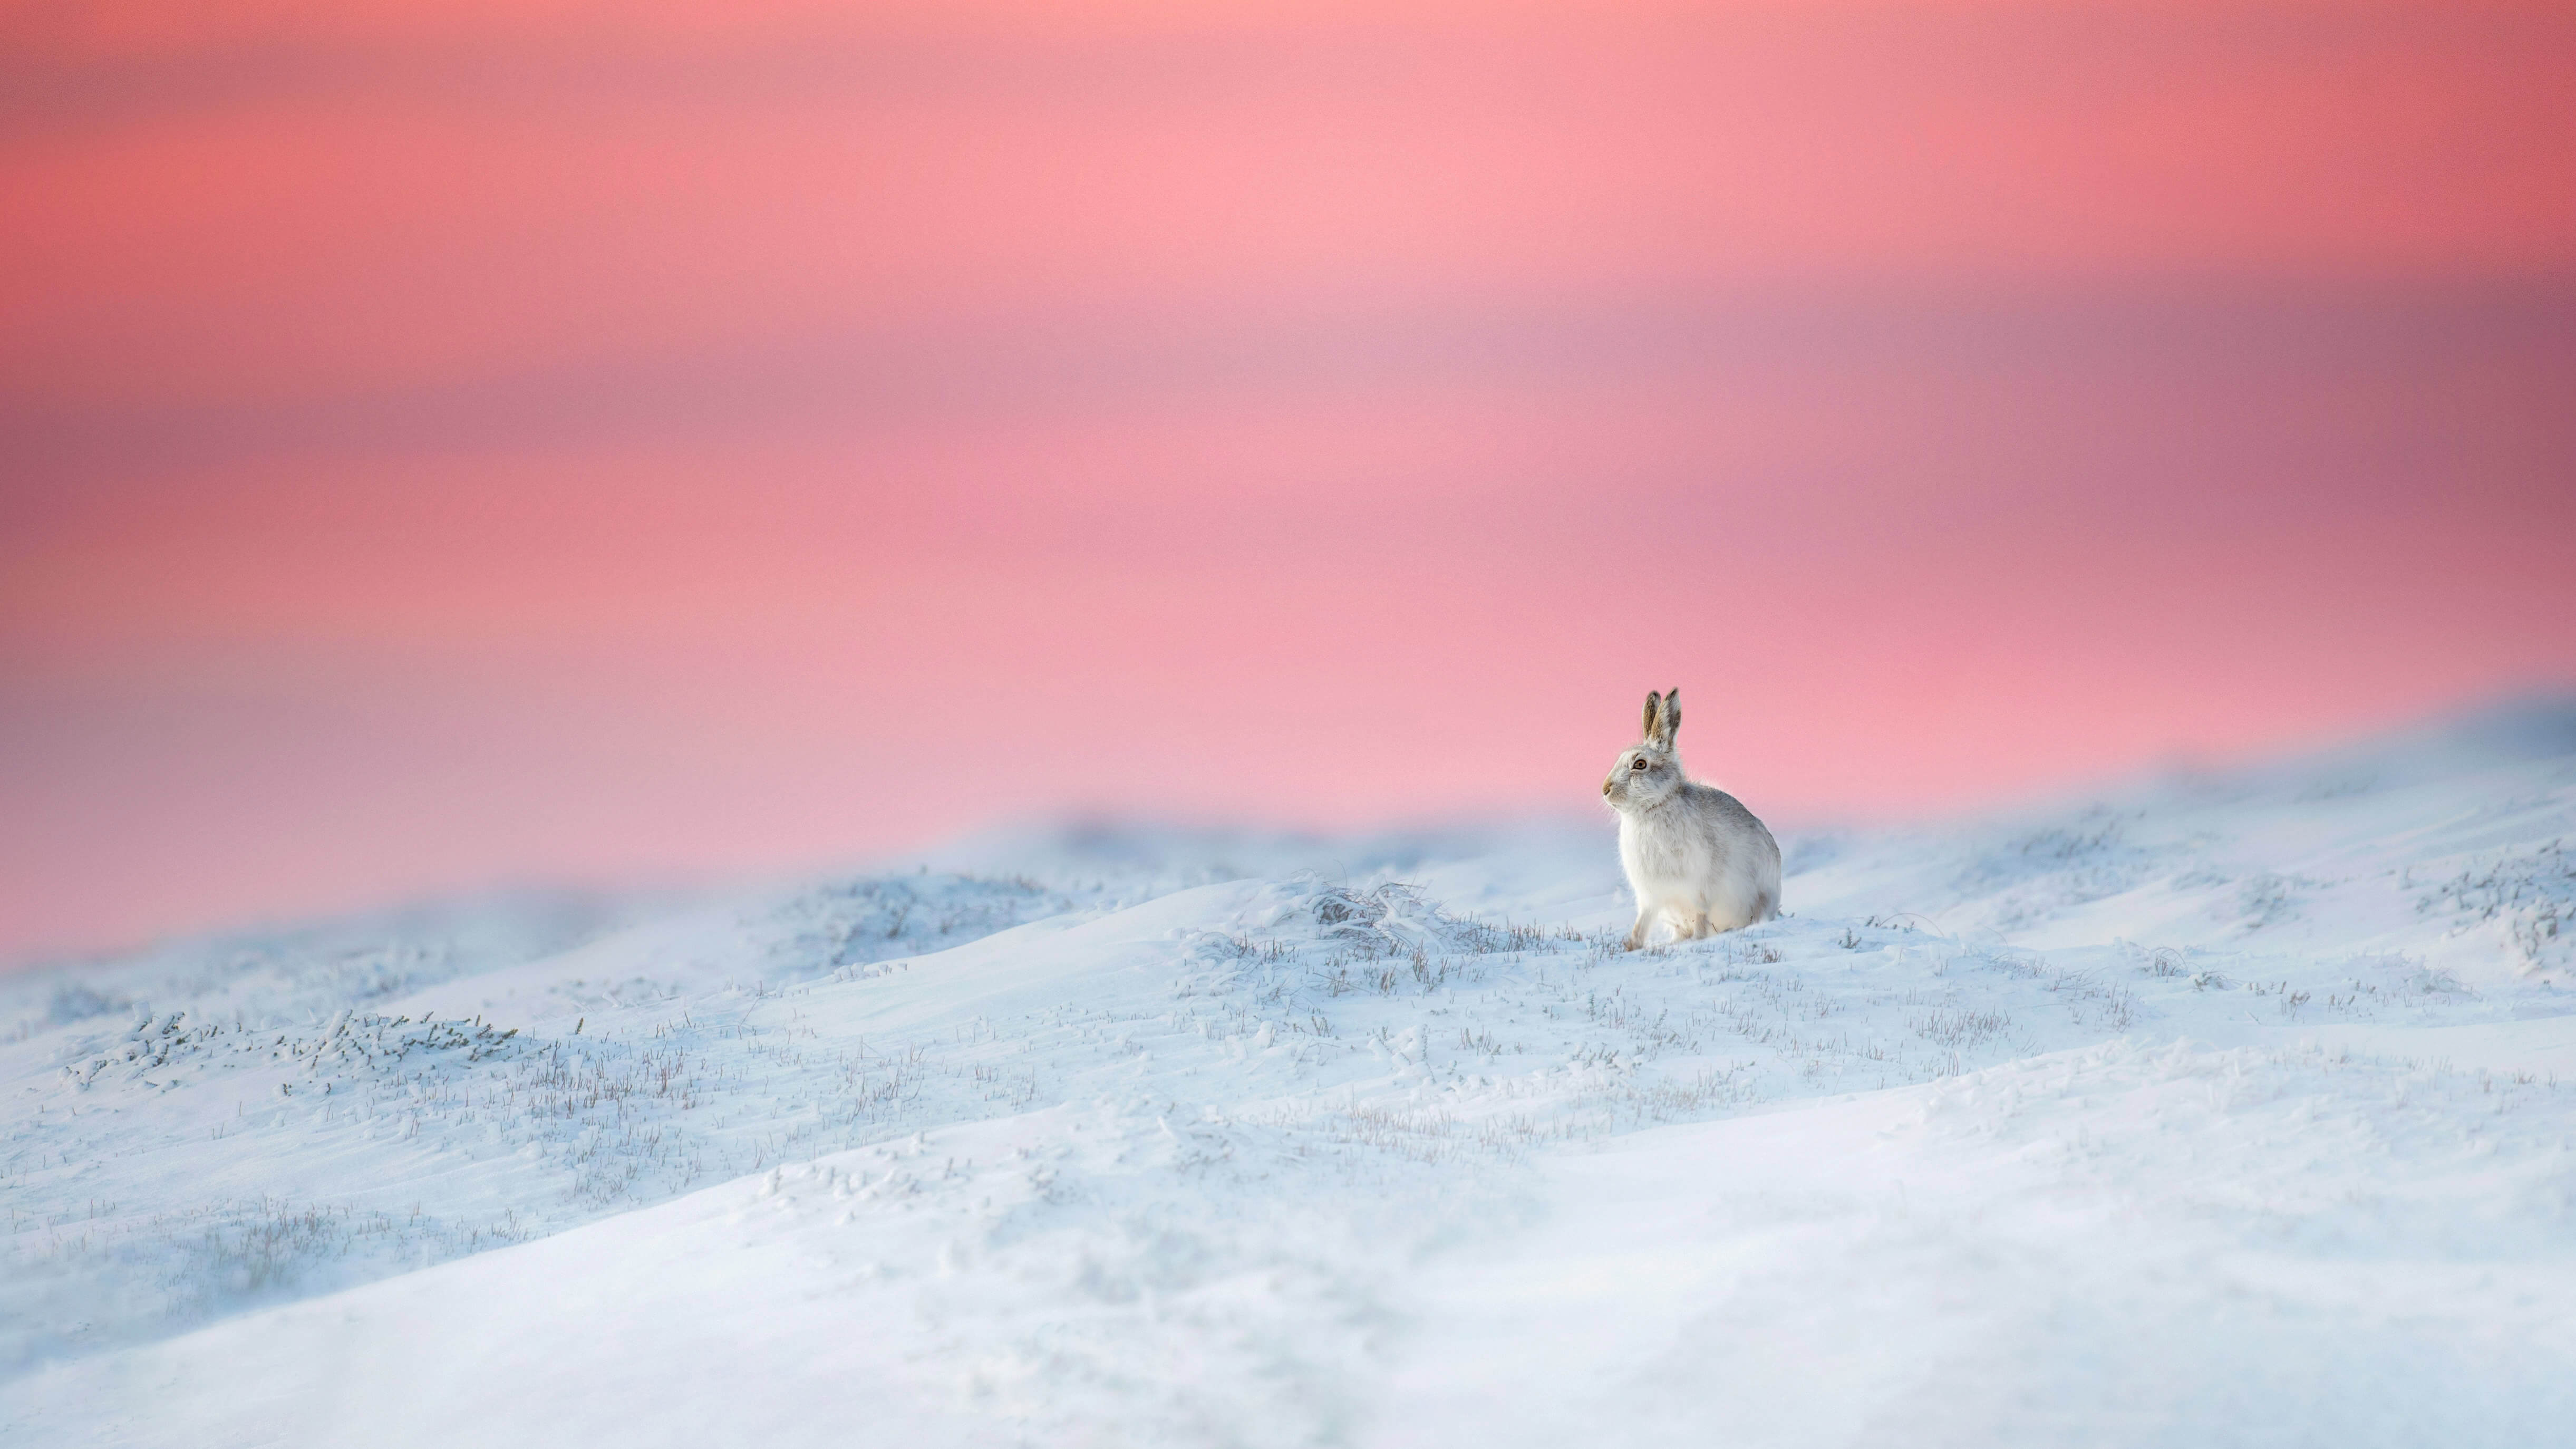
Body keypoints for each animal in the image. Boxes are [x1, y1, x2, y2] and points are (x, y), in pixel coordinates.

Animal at [1601, 688, 1781, 949]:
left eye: (1640, 764)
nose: (1605, 790)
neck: (1654, 807)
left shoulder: (1700, 890)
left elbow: (1701, 918)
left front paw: (1698, 941)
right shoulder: (1651, 898)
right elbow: (1641, 924)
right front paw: (1631, 947)